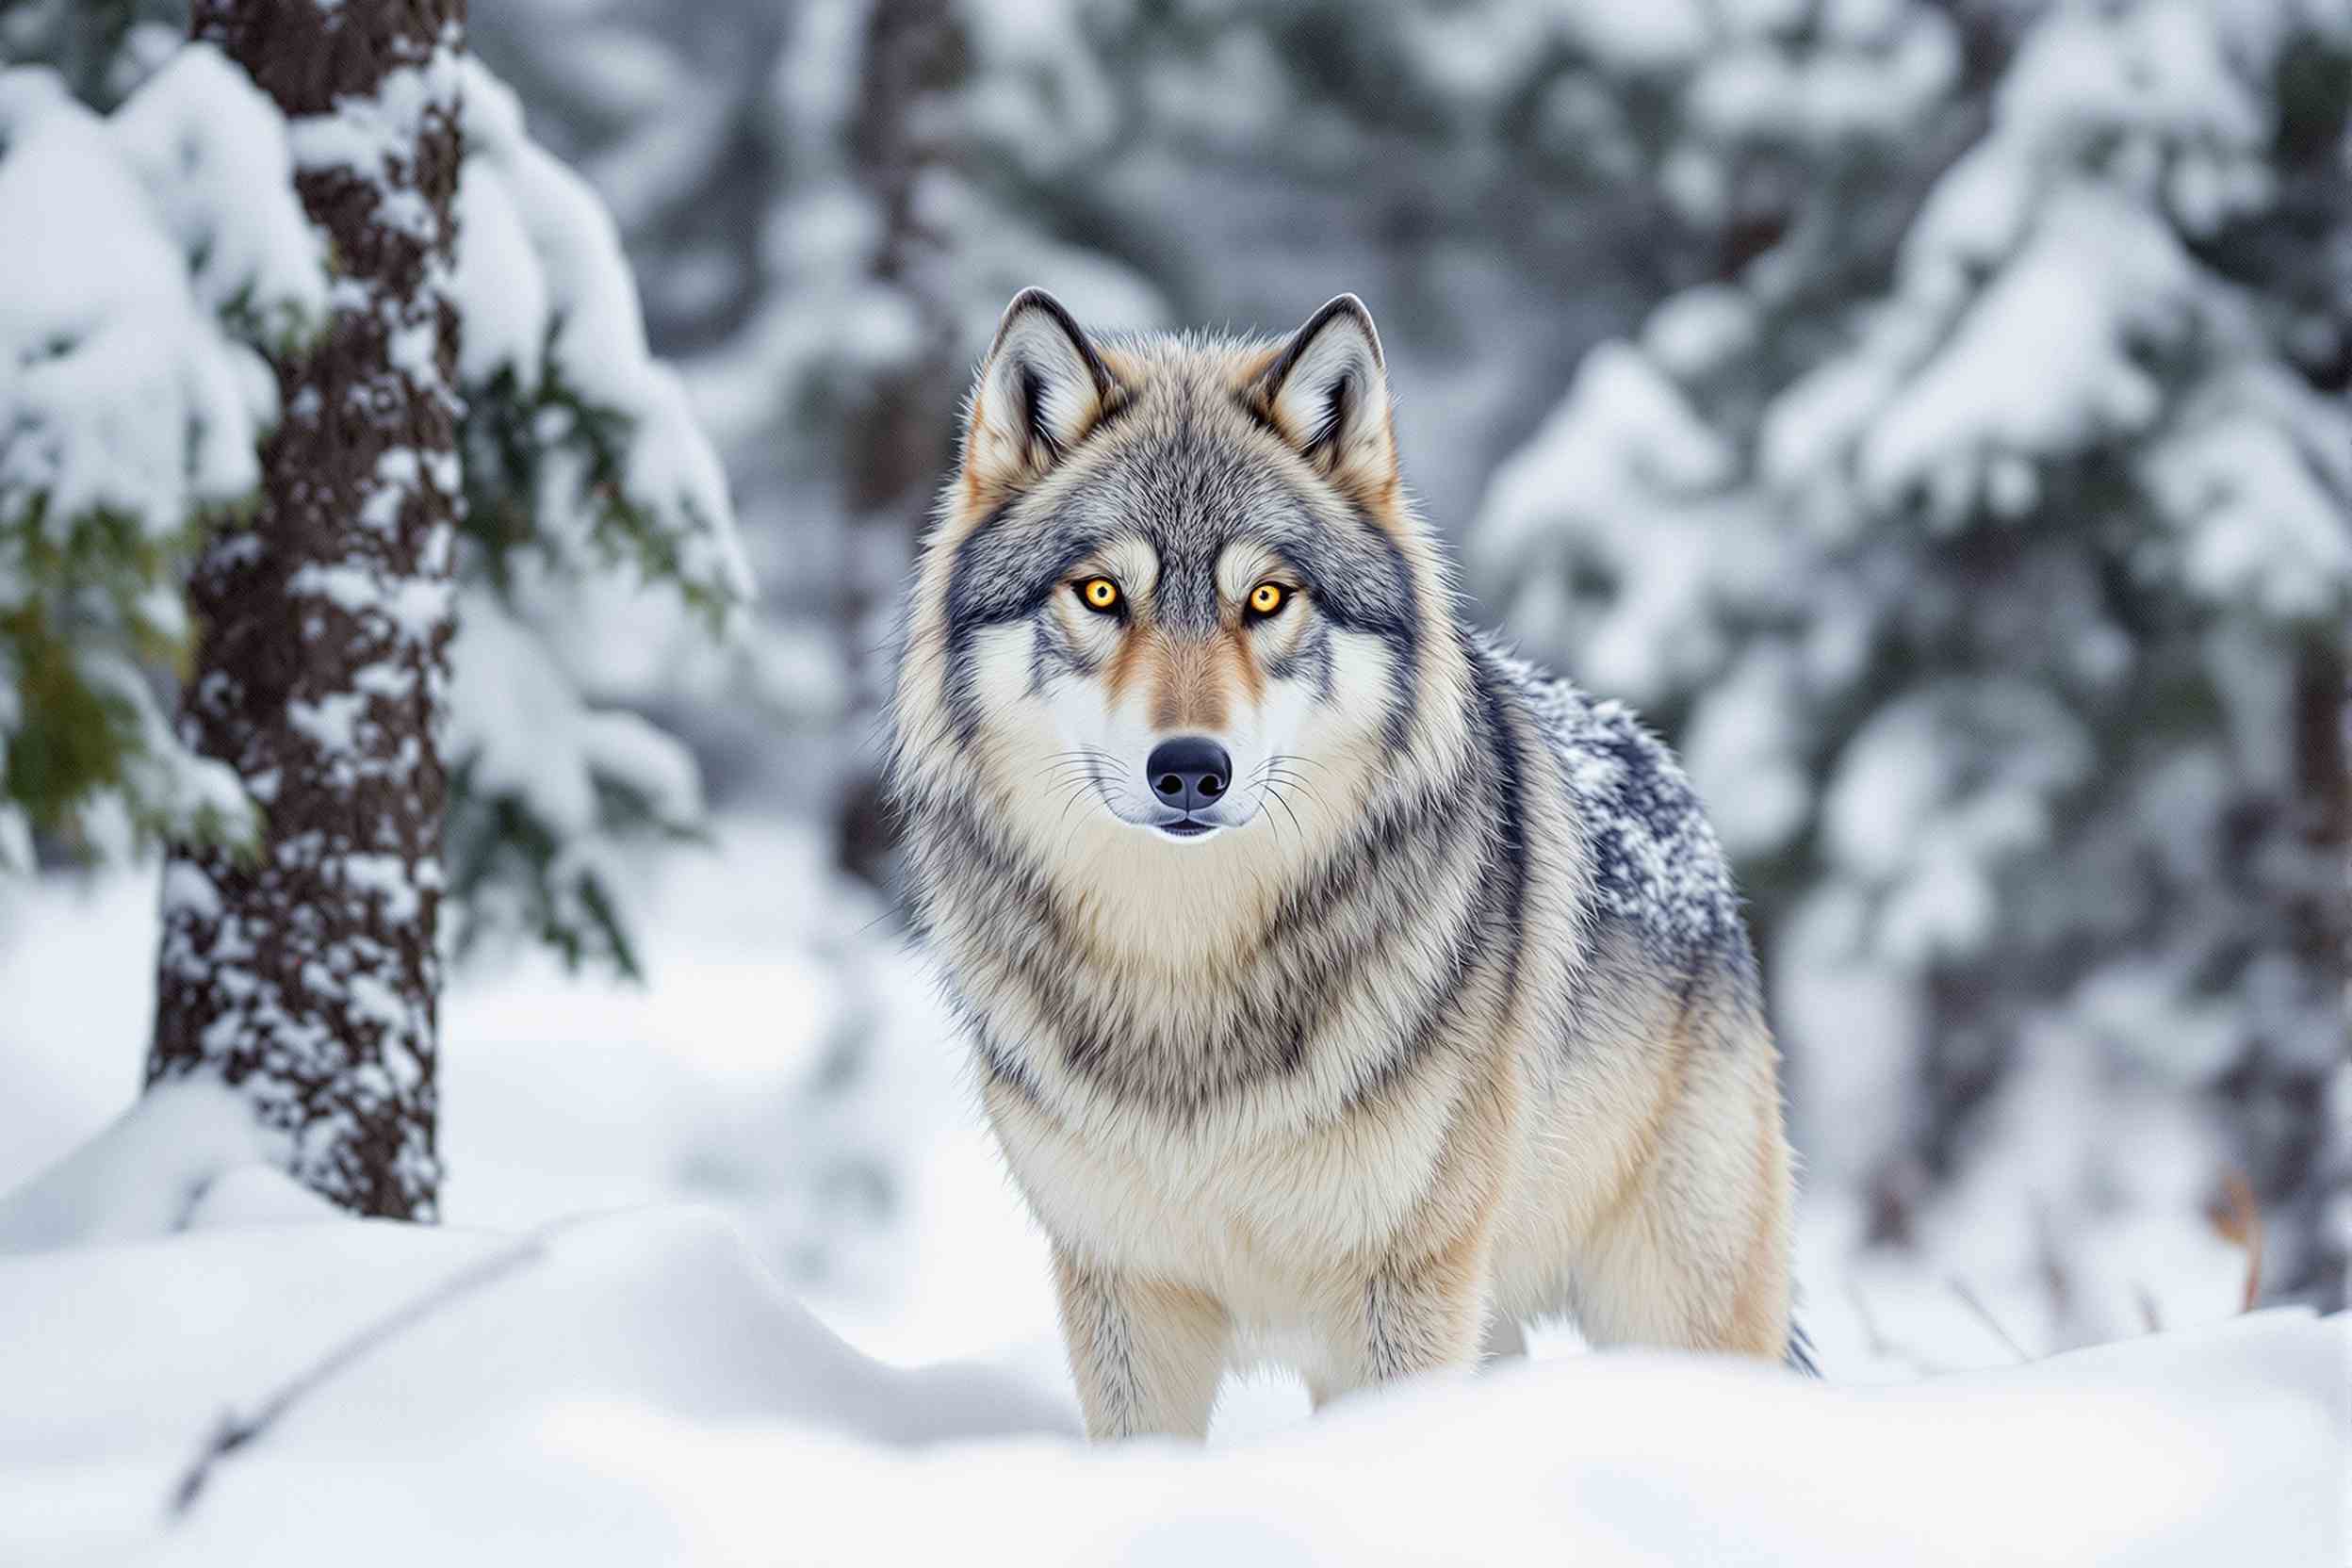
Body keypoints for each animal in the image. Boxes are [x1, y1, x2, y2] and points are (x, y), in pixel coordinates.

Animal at [890, 288, 1803, 1439]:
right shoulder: (1126, 1289)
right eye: (1100, 593)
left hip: (1664, 1305)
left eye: (1267, 599)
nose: (1190, 769)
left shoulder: (1398, 1288)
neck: (1185, 974)